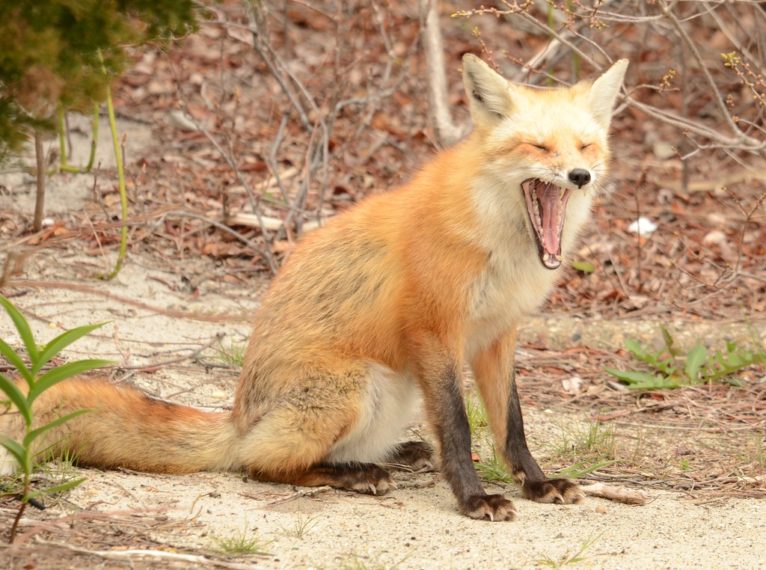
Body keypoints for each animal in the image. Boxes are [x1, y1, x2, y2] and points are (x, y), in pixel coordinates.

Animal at [1, 54, 632, 520]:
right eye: (539, 148)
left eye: (585, 147)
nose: (580, 177)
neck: (498, 241)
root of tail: (238, 418)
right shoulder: (436, 330)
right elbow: (456, 425)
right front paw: (474, 498)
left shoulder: (497, 336)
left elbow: (511, 426)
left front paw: (537, 484)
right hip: (358, 386)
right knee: (259, 464)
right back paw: (355, 474)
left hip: (393, 393)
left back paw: (396, 454)